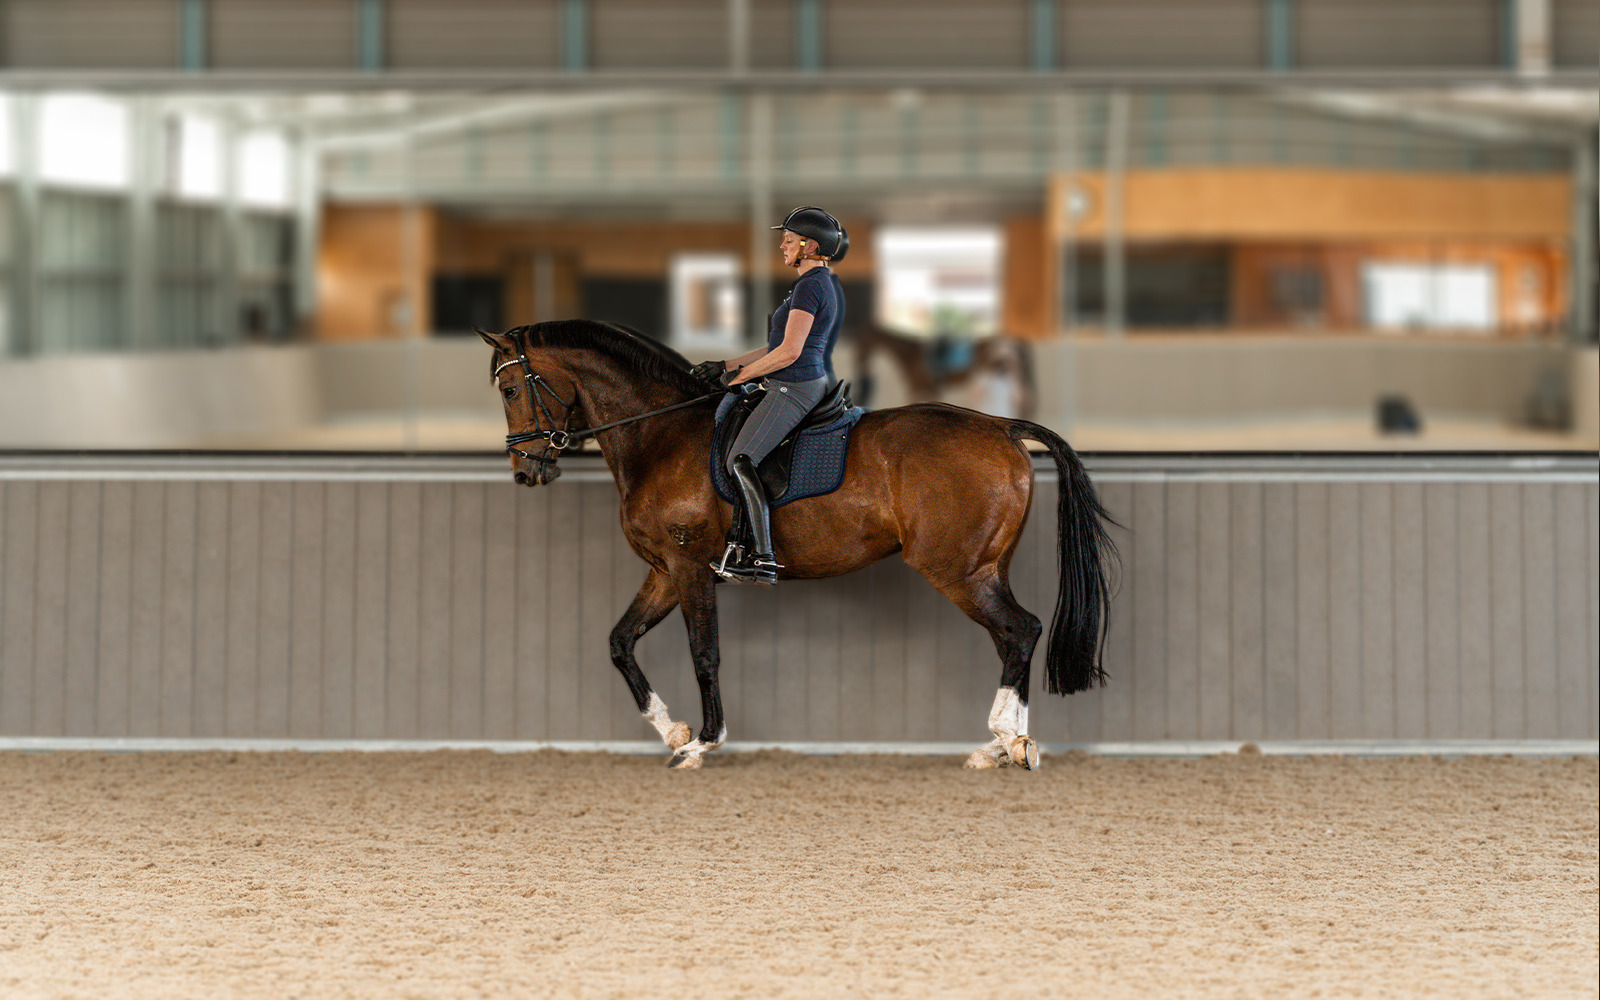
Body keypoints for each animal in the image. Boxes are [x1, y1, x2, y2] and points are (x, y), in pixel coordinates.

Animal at [473, 315, 1113, 768]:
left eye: (509, 390)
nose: (526, 472)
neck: (661, 433)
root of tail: (1000, 426)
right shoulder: (664, 570)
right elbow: (619, 642)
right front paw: (672, 729)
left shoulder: (689, 566)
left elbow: (705, 653)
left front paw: (702, 744)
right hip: (984, 567)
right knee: (1012, 638)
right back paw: (1003, 746)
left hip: (958, 570)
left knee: (1020, 630)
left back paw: (1009, 741)